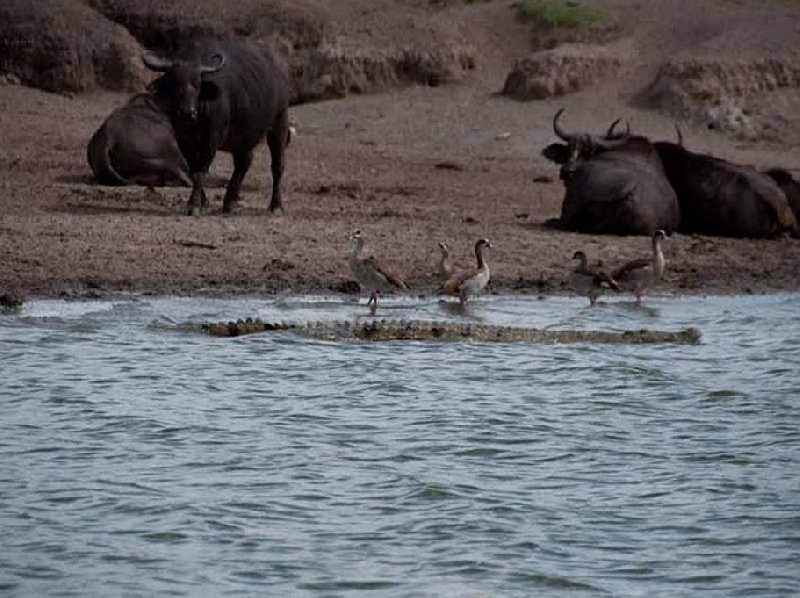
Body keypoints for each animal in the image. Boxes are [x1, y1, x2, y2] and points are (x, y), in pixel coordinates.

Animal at [143, 36, 290, 217]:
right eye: (173, 82)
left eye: (197, 84)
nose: (187, 112)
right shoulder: (184, 140)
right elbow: (193, 170)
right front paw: (199, 201)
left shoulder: (211, 140)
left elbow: (201, 172)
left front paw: (195, 205)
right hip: (243, 135)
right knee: (244, 162)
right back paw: (230, 201)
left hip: (279, 122)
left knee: (277, 165)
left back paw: (275, 205)